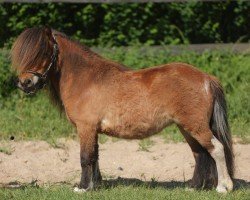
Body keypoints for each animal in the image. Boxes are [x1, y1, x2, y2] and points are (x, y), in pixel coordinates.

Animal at [11, 26, 234, 192]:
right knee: (200, 154)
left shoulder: (85, 128)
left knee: (217, 149)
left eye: (43, 52)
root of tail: (207, 78)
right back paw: (194, 187)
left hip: (195, 126)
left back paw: (224, 187)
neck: (85, 79)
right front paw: (96, 185)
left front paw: (82, 188)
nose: (25, 83)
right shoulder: (93, 130)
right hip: (186, 127)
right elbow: (95, 156)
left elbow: (85, 157)